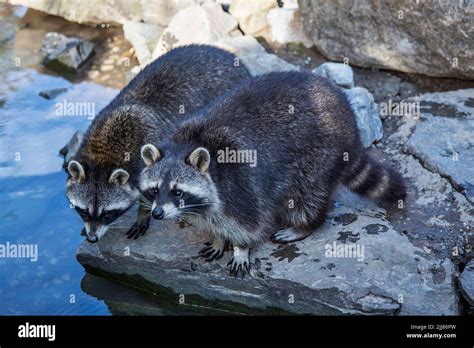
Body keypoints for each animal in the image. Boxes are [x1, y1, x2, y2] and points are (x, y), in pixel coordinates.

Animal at [68, 44, 252, 243]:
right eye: (84, 212)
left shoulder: (146, 161)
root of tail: (227, 54)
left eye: (107, 214)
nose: (92, 238)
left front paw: (143, 215)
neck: (103, 154)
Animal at [139, 71, 406, 278]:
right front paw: (218, 238)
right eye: (155, 190)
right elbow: (213, 220)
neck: (189, 144)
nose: (157, 213)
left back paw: (303, 225)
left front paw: (240, 248)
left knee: (308, 196)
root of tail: (348, 117)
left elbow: (249, 223)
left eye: (177, 192)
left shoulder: (241, 185)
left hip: (318, 156)